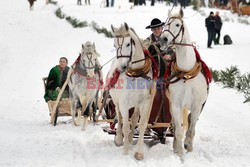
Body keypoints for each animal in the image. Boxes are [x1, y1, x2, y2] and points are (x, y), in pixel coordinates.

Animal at [110, 22, 156, 160]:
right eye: (114, 45)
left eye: (128, 44)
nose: (122, 67)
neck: (137, 75)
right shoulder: (124, 104)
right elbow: (125, 126)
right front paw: (125, 152)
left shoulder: (145, 103)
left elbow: (141, 124)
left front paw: (139, 152)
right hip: (116, 102)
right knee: (119, 117)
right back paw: (119, 139)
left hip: (136, 105)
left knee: (134, 119)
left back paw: (130, 141)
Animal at [159, 9, 210, 158]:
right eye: (166, 23)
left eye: (177, 24)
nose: (163, 39)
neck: (186, 74)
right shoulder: (175, 105)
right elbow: (178, 131)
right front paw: (181, 155)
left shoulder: (197, 106)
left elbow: (191, 130)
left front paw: (189, 147)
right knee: (177, 126)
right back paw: (177, 147)